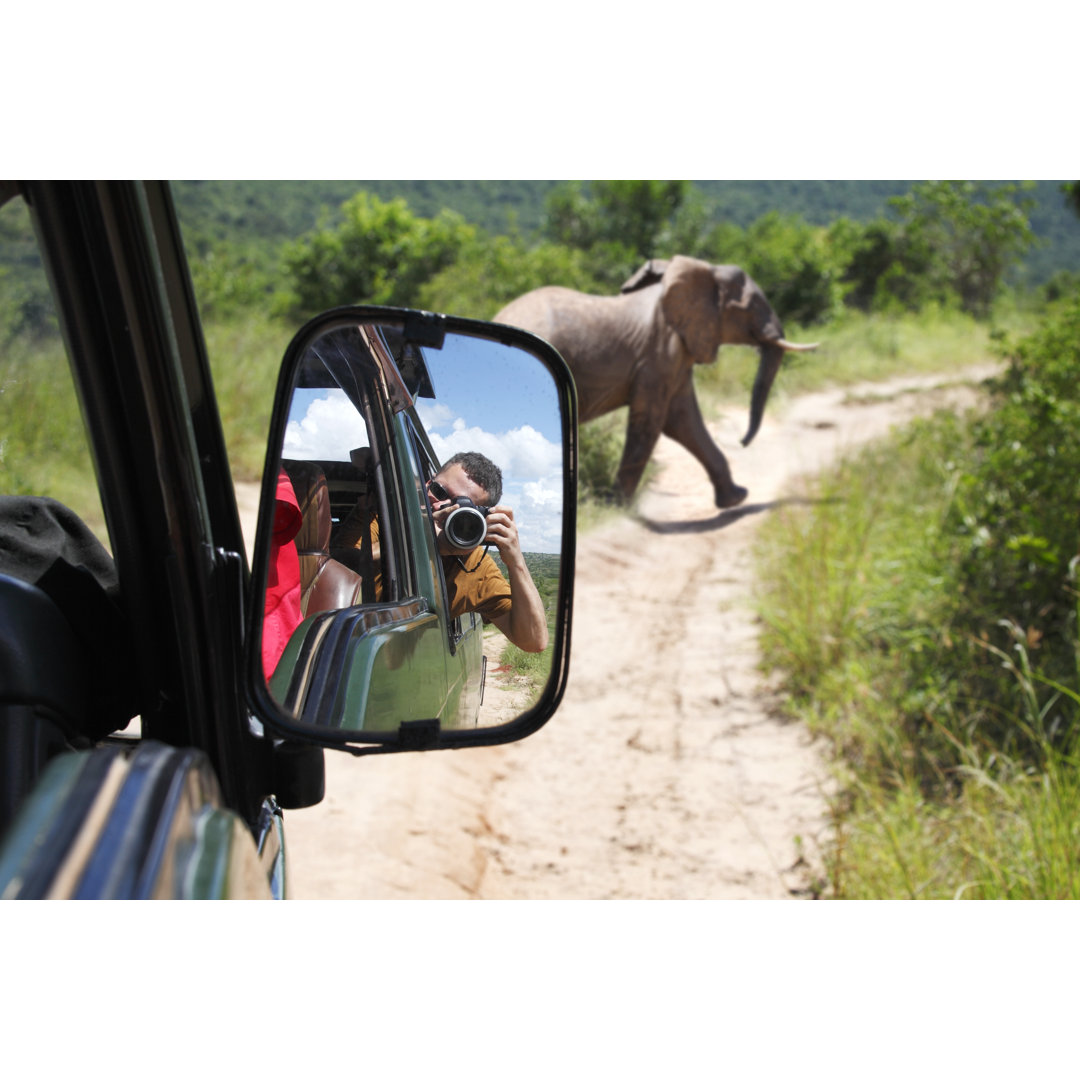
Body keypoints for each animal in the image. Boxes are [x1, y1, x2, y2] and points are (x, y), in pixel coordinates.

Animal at [494, 254, 812, 507]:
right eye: (752, 306)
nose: (742, 442)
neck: (705, 270)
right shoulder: (659, 353)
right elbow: (653, 420)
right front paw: (617, 507)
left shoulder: (675, 355)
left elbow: (683, 420)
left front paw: (736, 499)